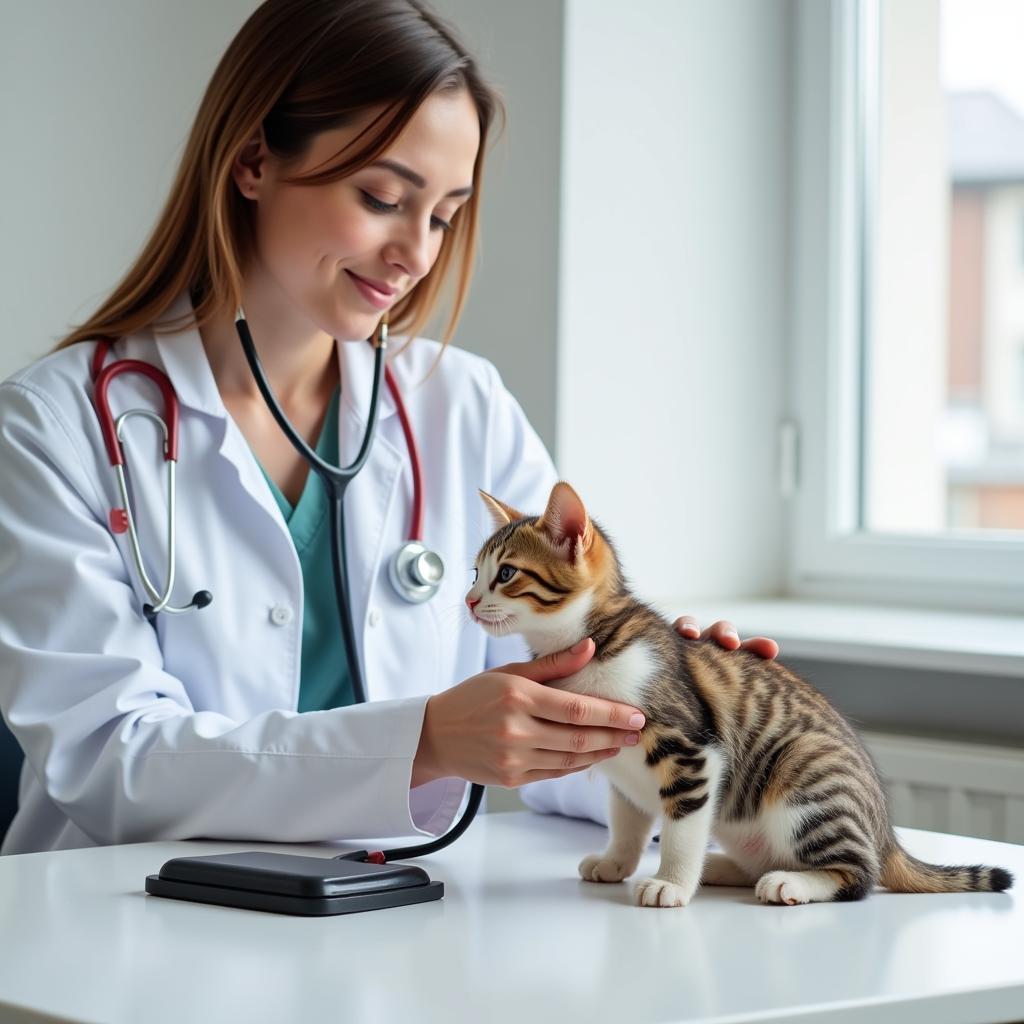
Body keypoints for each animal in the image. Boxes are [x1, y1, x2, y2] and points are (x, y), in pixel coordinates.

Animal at [468, 483, 1011, 909]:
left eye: (507, 574)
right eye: (475, 572)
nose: (469, 600)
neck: (595, 641)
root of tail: (884, 833)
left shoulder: (692, 752)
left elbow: (682, 828)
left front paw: (671, 883)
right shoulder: (622, 767)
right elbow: (627, 820)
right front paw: (617, 861)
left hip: (806, 780)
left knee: (859, 877)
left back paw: (789, 882)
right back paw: (726, 868)